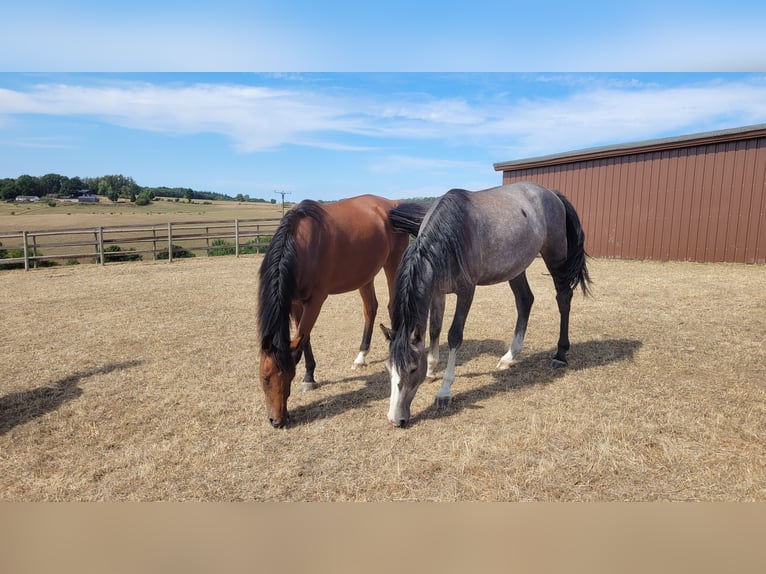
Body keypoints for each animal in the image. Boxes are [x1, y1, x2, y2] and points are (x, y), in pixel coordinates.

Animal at [258, 196, 426, 430]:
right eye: (265, 377)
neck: (300, 243)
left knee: (391, 305)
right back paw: (361, 356)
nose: (277, 420)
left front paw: (308, 378)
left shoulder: (315, 300)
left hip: (393, 263)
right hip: (365, 274)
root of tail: (393, 204)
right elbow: (303, 339)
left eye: (290, 375)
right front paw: (309, 375)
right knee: (370, 308)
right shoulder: (295, 301)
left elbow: (304, 335)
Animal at [380, 182, 592, 430]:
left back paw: (560, 354)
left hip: (556, 256)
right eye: (388, 368)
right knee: (525, 300)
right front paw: (432, 370)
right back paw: (510, 356)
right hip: (516, 267)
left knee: (563, 298)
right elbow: (434, 330)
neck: (450, 234)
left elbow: (454, 336)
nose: (395, 419)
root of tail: (551, 194)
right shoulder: (437, 292)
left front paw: (444, 391)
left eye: (413, 368)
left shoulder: (466, 291)